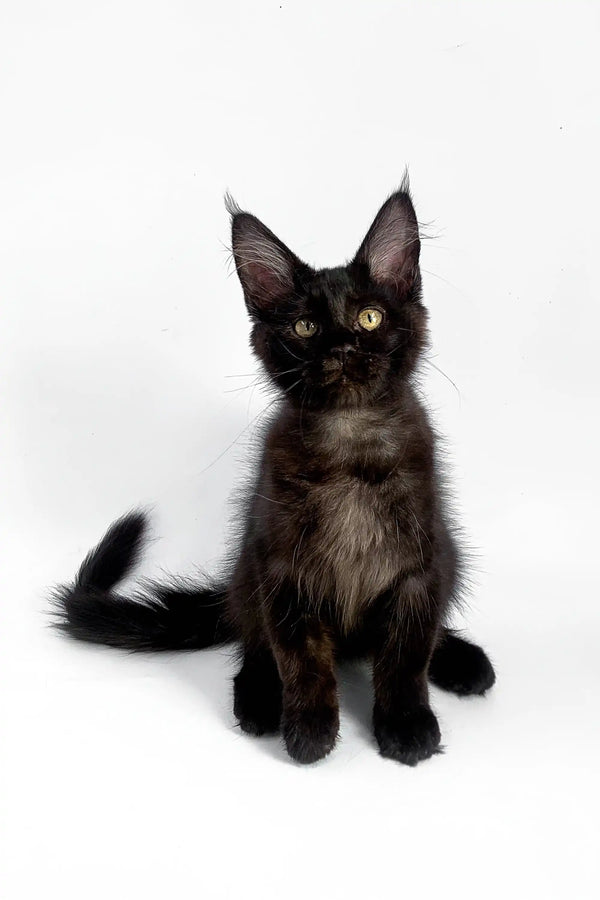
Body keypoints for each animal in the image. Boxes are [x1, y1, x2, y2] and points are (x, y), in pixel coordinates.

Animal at [54, 181, 494, 768]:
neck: (350, 441)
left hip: (450, 550)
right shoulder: (284, 564)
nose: (341, 347)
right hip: (249, 567)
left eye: (370, 318)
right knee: (254, 640)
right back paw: (260, 698)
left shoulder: (418, 566)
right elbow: (301, 657)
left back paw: (461, 661)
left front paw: (406, 724)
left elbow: (405, 655)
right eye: (305, 327)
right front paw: (309, 730)